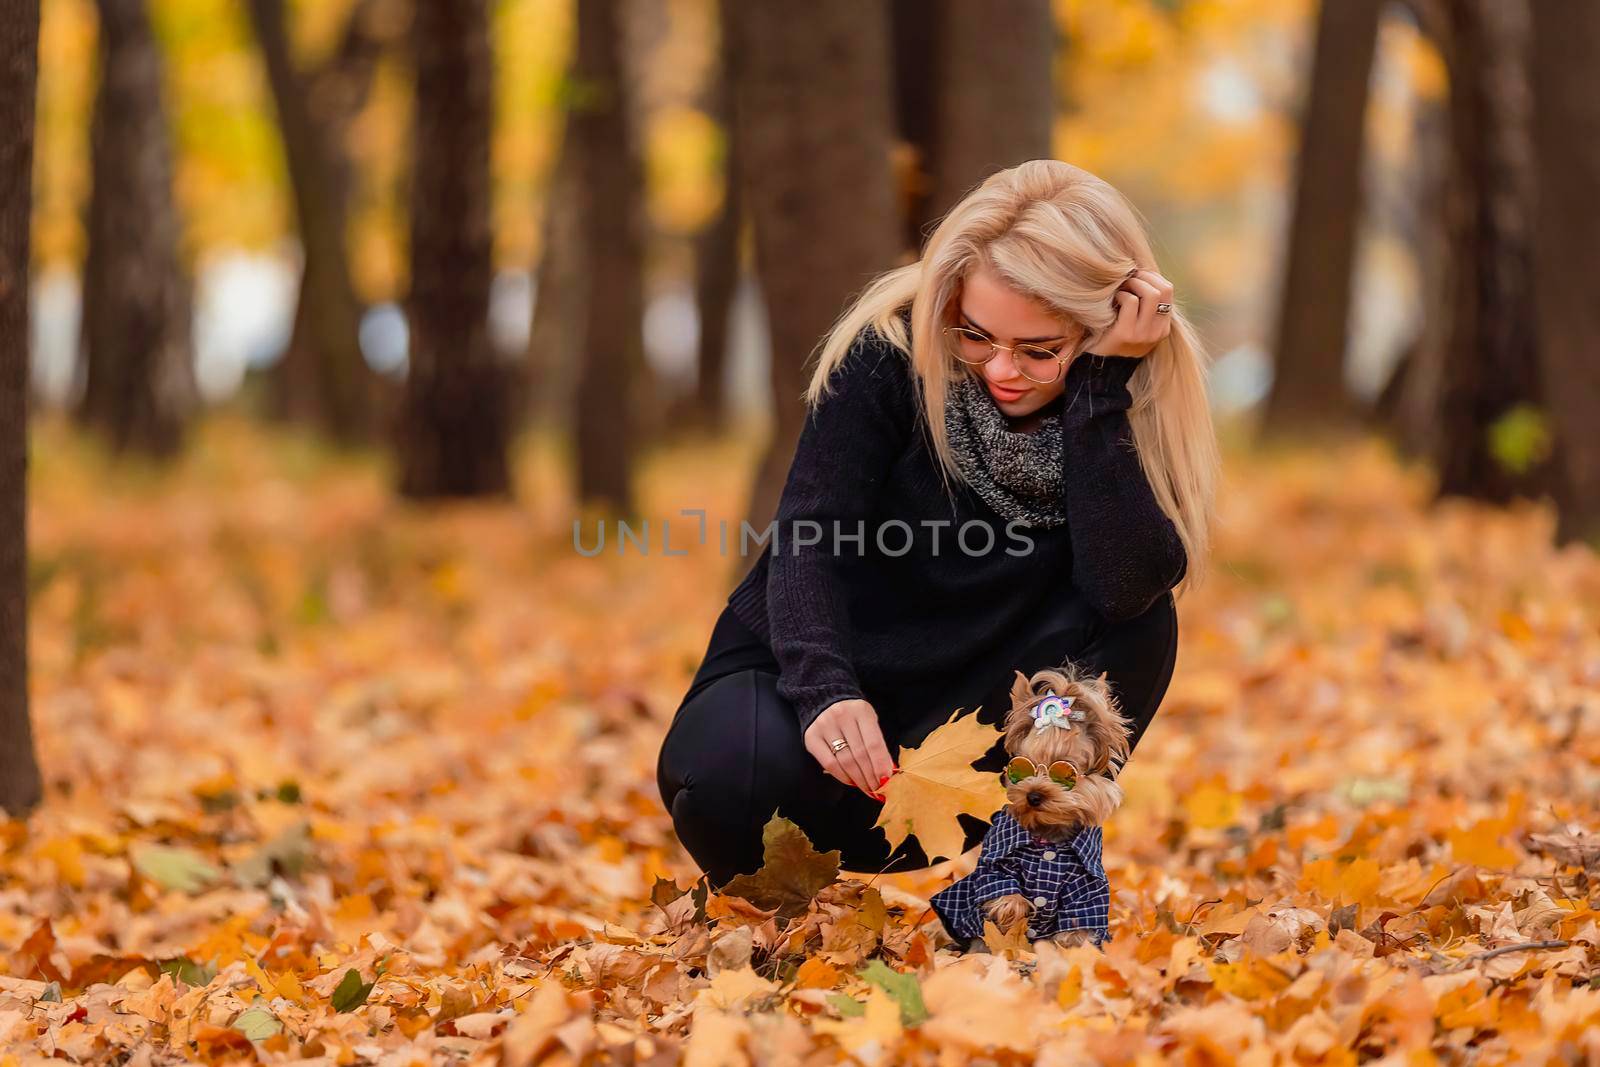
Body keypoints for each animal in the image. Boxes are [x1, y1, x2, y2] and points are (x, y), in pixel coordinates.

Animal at [921, 668, 1132, 953]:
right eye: (1020, 768)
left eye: (1063, 771)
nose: (1033, 795)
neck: (1047, 838)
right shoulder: (996, 860)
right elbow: (999, 882)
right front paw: (1011, 908)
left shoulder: (1086, 885)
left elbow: (1080, 921)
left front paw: (1074, 951)